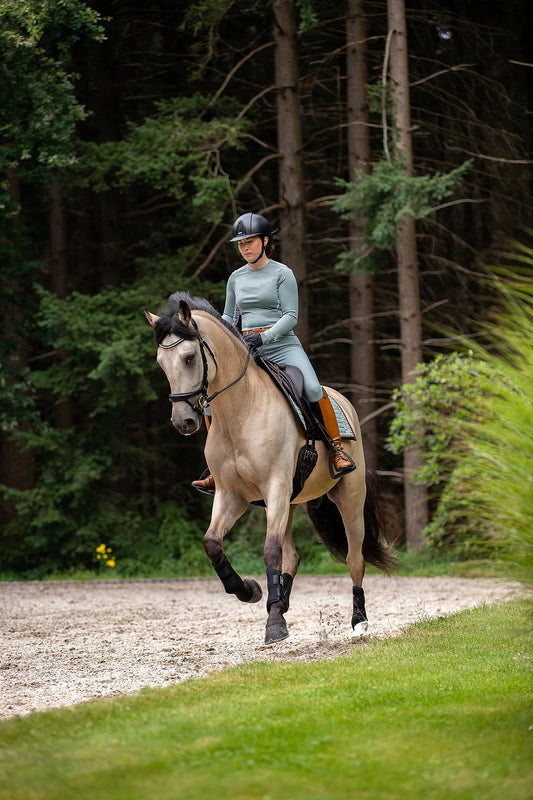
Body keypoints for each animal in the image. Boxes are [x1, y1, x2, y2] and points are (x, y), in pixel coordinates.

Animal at [143, 292, 392, 644]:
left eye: (190, 358)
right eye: (160, 363)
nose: (184, 421)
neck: (240, 411)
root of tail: (342, 401)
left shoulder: (275, 487)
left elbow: (270, 551)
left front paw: (274, 625)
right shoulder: (232, 495)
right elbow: (212, 543)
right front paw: (249, 591)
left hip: (349, 500)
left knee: (354, 559)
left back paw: (359, 622)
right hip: (289, 502)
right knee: (294, 556)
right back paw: (280, 602)